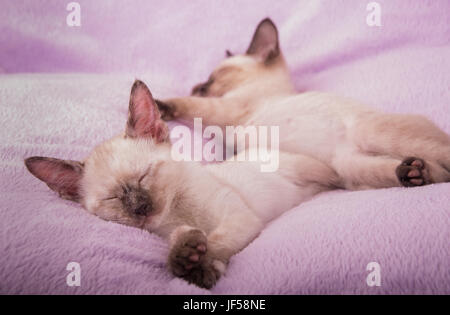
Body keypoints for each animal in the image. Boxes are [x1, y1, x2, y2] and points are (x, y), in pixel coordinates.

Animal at [23, 80, 338, 290]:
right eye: (113, 199)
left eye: (145, 175)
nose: (141, 208)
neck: (178, 214)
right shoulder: (172, 231)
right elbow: (186, 242)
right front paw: (189, 262)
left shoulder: (240, 218)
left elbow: (217, 242)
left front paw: (199, 265)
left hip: (309, 169)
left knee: (332, 177)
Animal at [156, 18, 450, 191]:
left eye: (211, 79)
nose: (197, 86)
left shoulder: (230, 110)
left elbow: (191, 106)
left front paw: (159, 104)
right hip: (352, 165)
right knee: (436, 173)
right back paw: (413, 172)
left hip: (372, 133)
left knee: (444, 159)